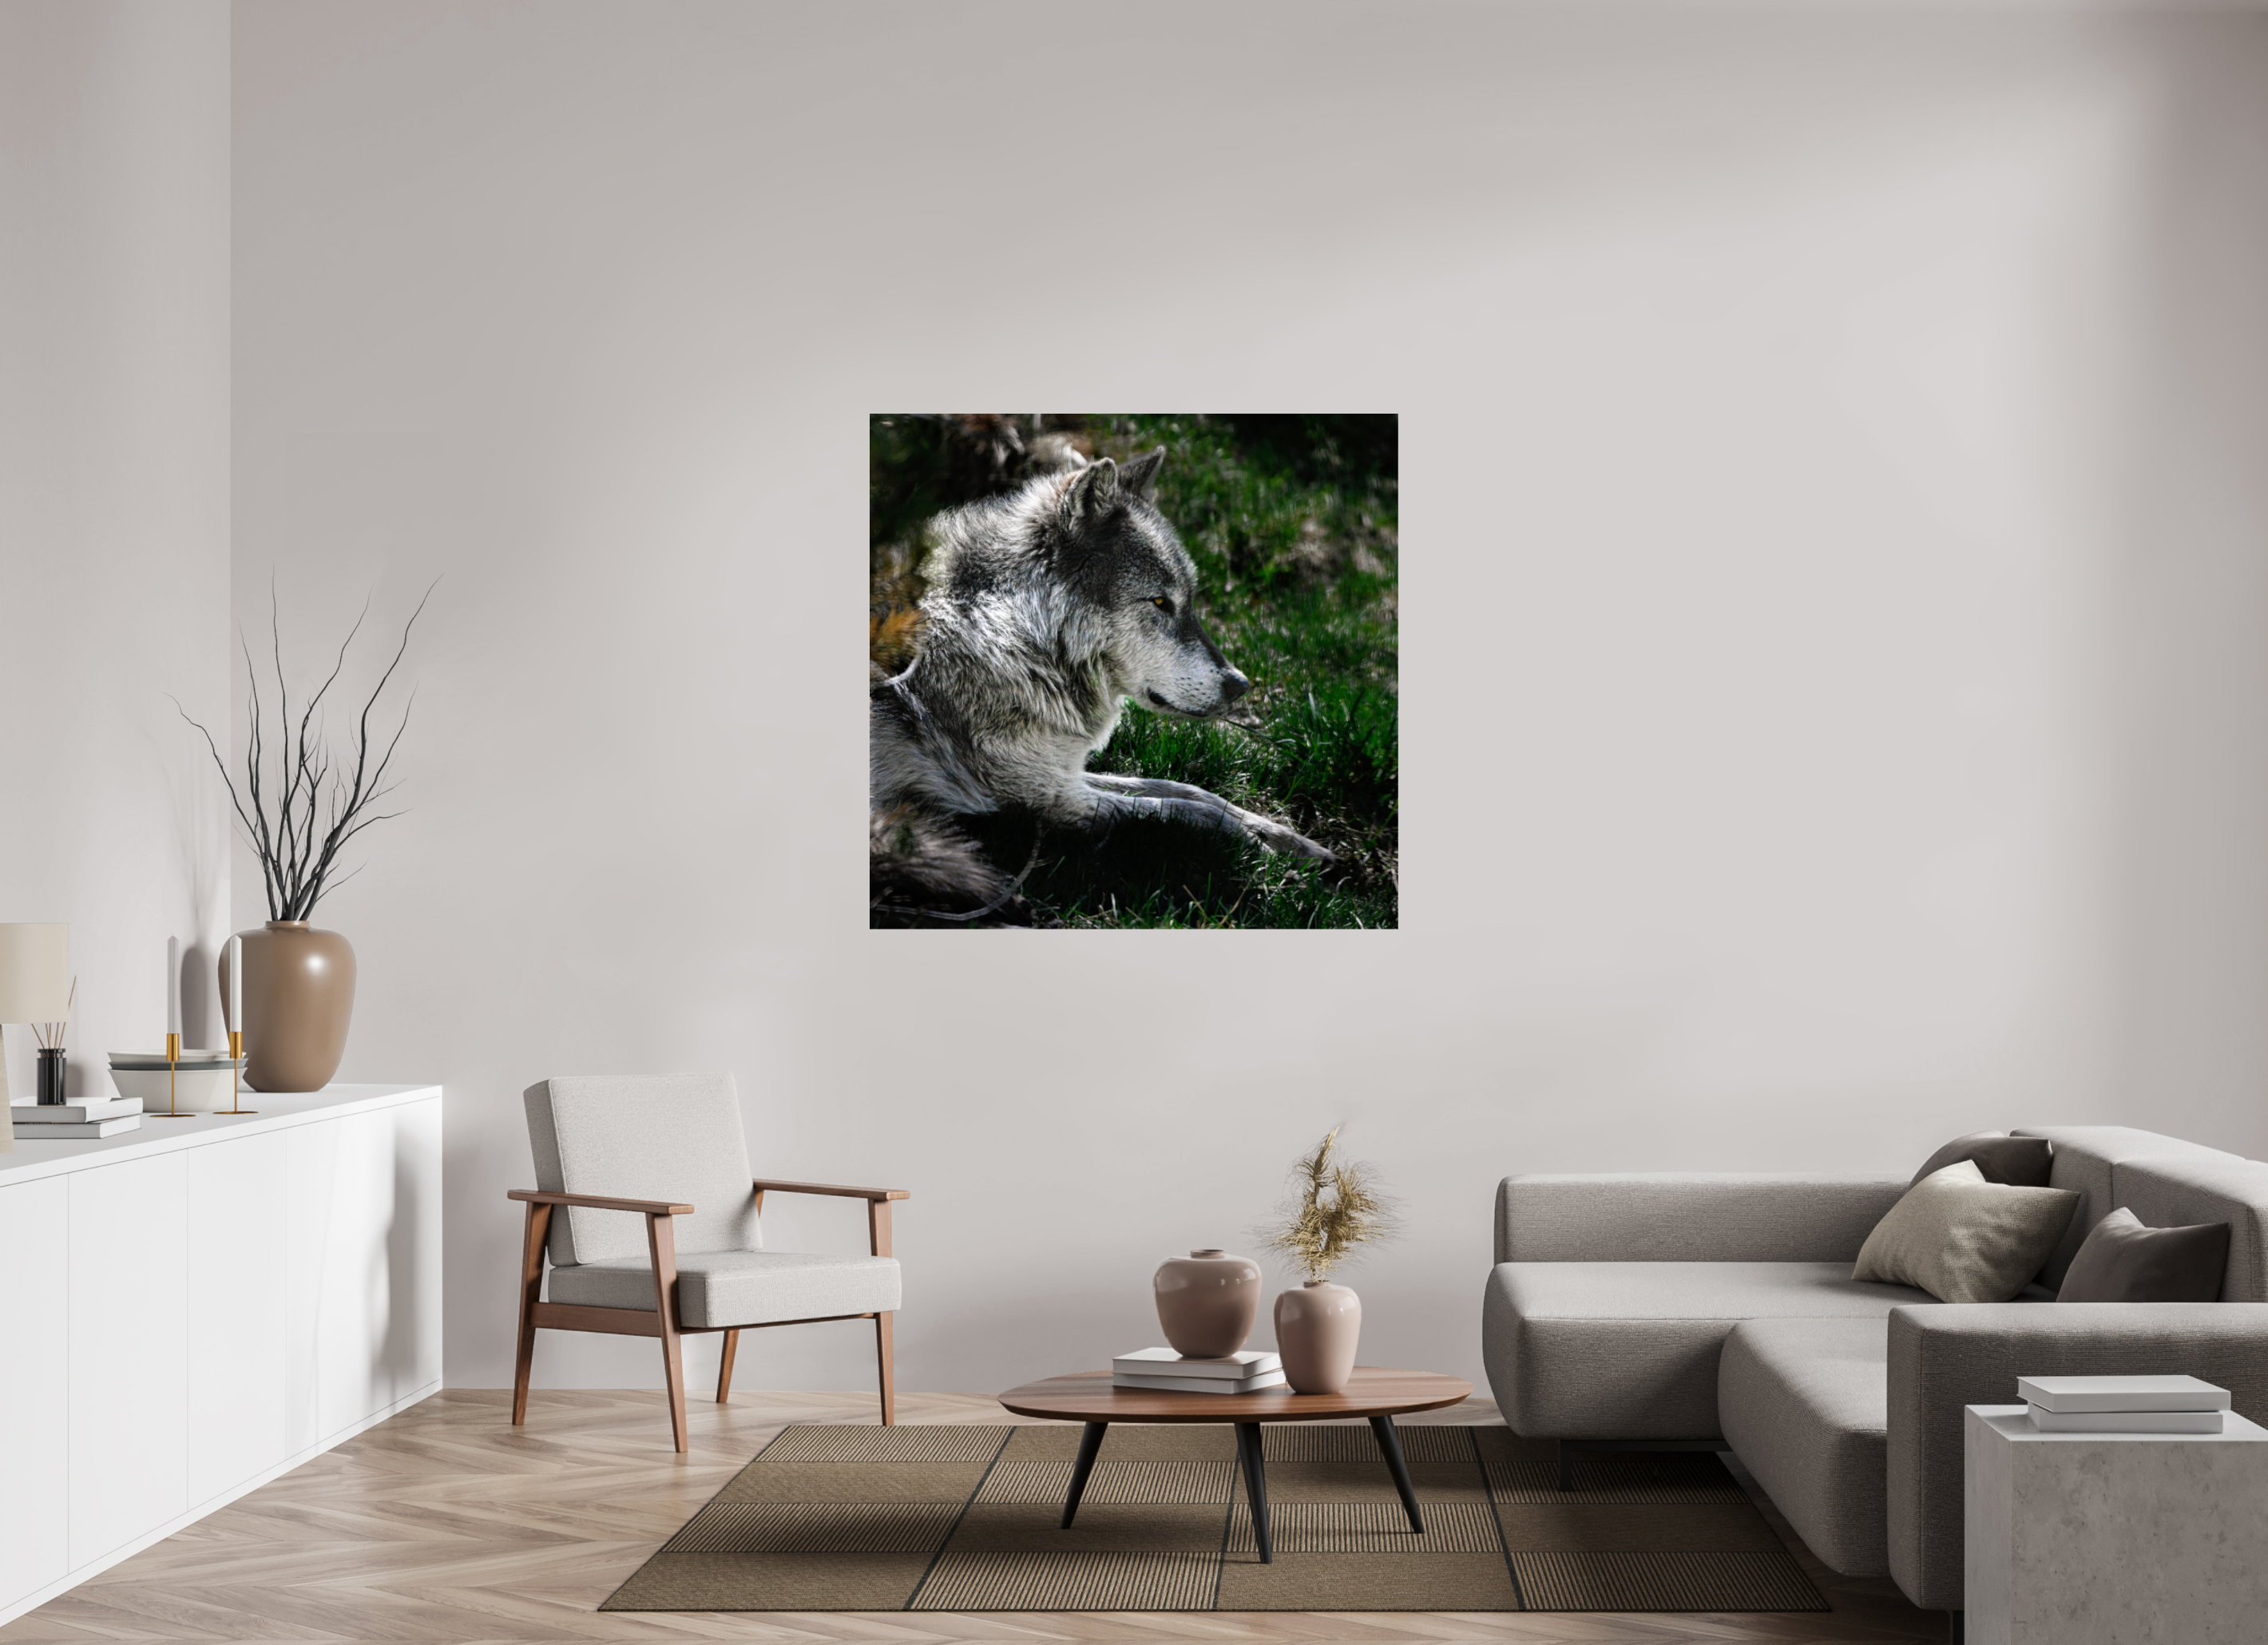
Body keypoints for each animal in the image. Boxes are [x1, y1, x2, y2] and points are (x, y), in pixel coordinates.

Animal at [870, 450, 1333, 876]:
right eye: (1160, 602)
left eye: (1189, 601)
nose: (1240, 685)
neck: (1007, 631)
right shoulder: (1042, 799)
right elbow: (1182, 811)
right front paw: (1262, 854)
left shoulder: (1060, 772)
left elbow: (1190, 790)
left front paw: (1289, 839)